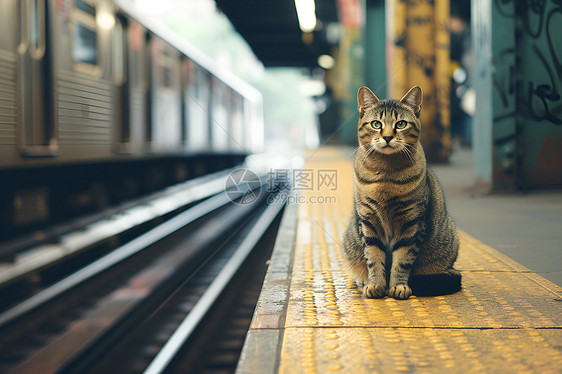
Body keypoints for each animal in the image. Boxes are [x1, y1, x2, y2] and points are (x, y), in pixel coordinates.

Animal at [342, 86, 460, 300]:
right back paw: (362, 280)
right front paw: (375, 284)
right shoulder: (369, 222)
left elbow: (402, 260)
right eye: (376, 124)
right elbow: (373, 257)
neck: (386, 174)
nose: (388, 137)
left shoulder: (412, 222)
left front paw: (398, 286)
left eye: (401, 124)